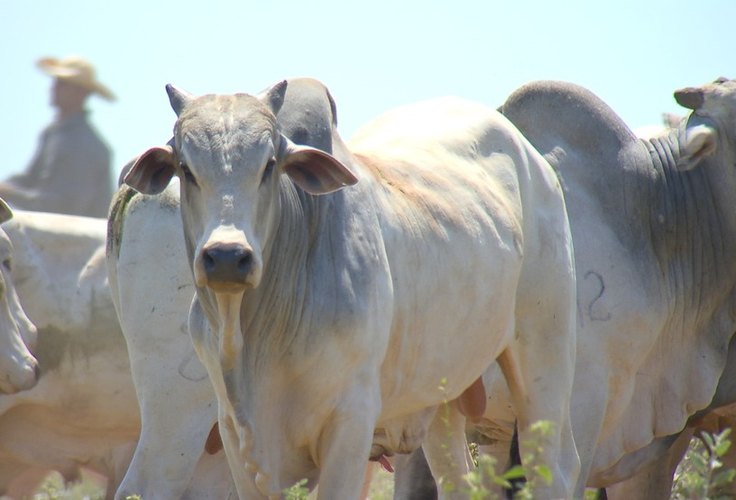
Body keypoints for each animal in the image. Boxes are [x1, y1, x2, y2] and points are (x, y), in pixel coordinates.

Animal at [122, 80, 580, 498]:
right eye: (186, 168)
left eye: (269, 165)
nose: (228, 256)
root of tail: (533, 158)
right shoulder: (237, 434)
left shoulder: (351, 421)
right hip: (440, 396)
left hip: (545, 353)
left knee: (555, 466)